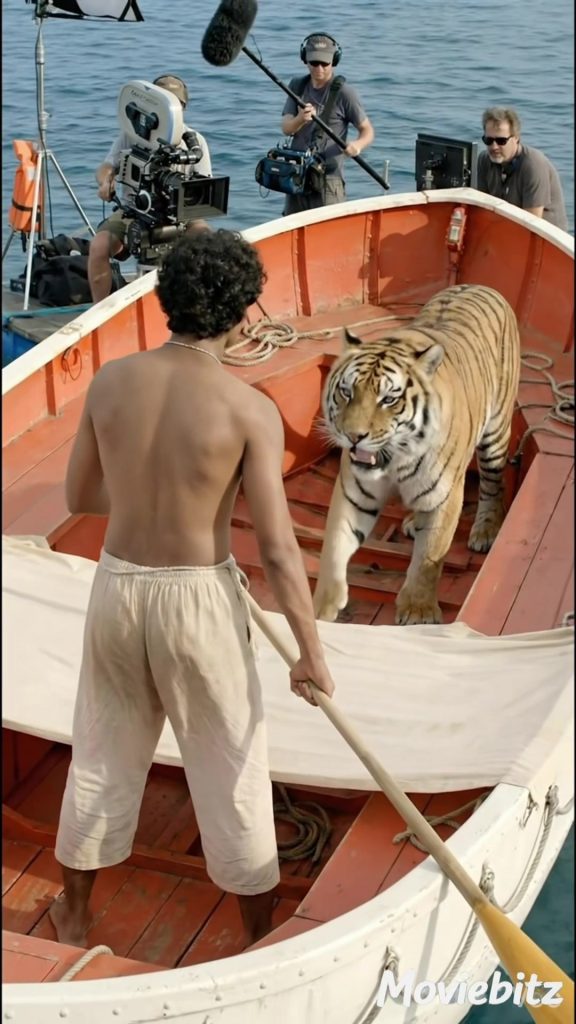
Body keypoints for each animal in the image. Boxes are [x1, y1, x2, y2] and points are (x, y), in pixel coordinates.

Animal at [313, 284, 520, 625]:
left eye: (388, 399)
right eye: (346, 392)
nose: (354, 436)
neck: (394, 459)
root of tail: (481, 286)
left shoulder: (445, 497)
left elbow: (430, 555)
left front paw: (418, 612)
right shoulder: (354, 493)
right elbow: (334, 546)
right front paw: (322, 607)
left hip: (495, 434)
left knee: (493, 484)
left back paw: (486, 529)